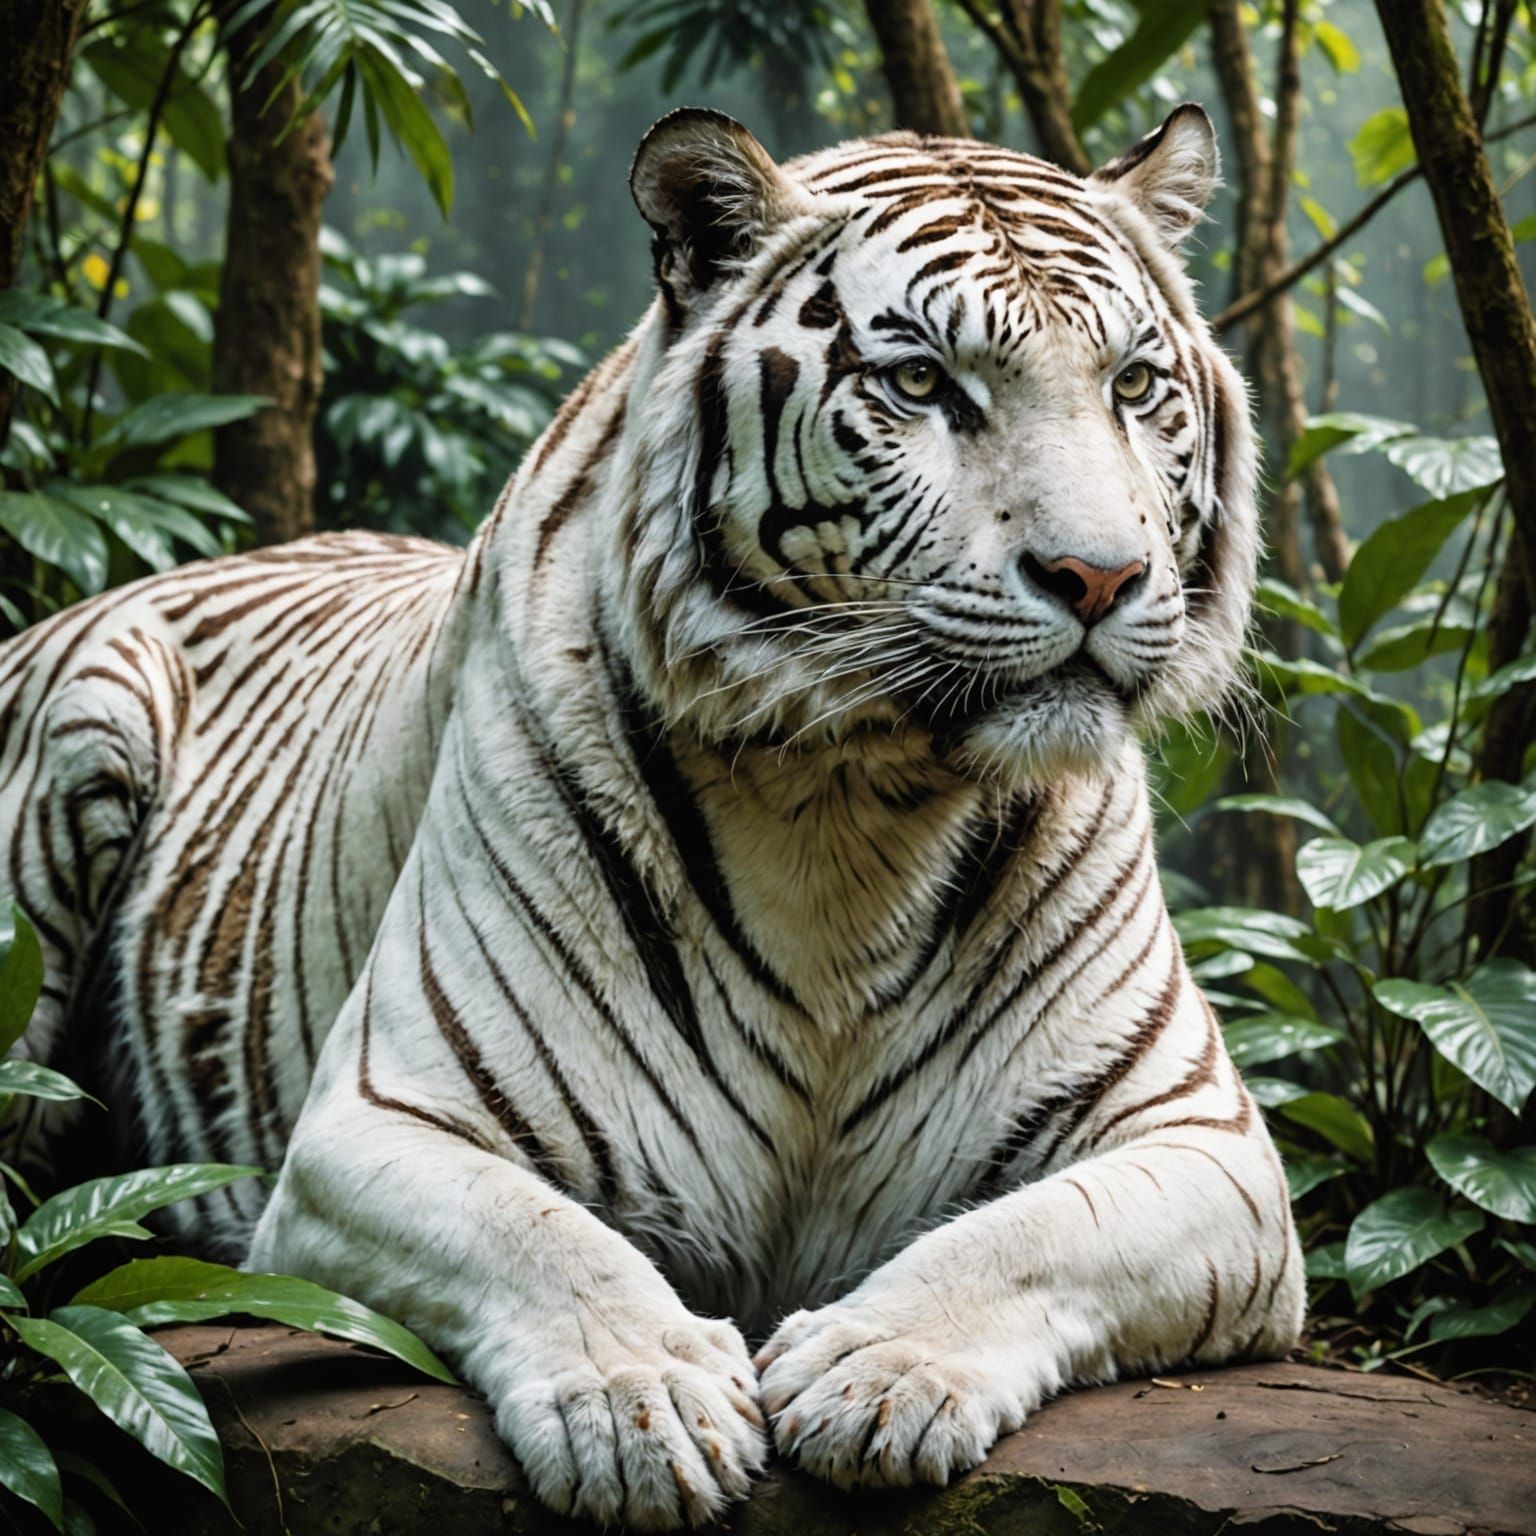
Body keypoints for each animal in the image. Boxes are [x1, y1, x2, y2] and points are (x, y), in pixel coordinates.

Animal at [0, 104, 1301, 1528]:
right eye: (920, 385)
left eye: (1133, 385)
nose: (1100, 576)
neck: (855, 803)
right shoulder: (380, 1119)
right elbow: (543, 1239)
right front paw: (643, 1402)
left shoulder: (1206, 1143)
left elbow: (1026, 1236)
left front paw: (877, 1369)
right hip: (89, 739)